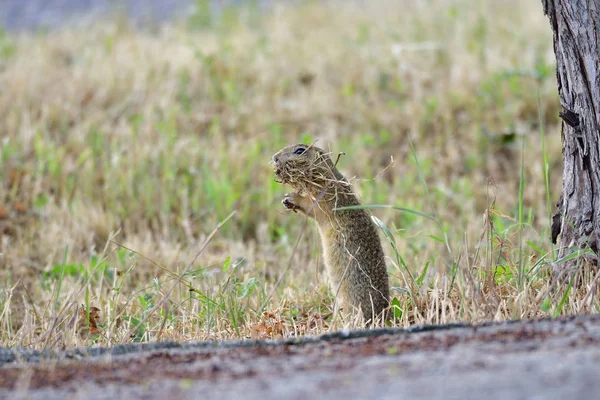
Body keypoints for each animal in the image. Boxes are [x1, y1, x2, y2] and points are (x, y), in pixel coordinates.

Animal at [272, 143, 390, 322]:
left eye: (300, 150)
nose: (274, 158)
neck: (327, 176)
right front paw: (286, 200)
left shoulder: (324, 197)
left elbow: (310, 206)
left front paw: (291, 197)